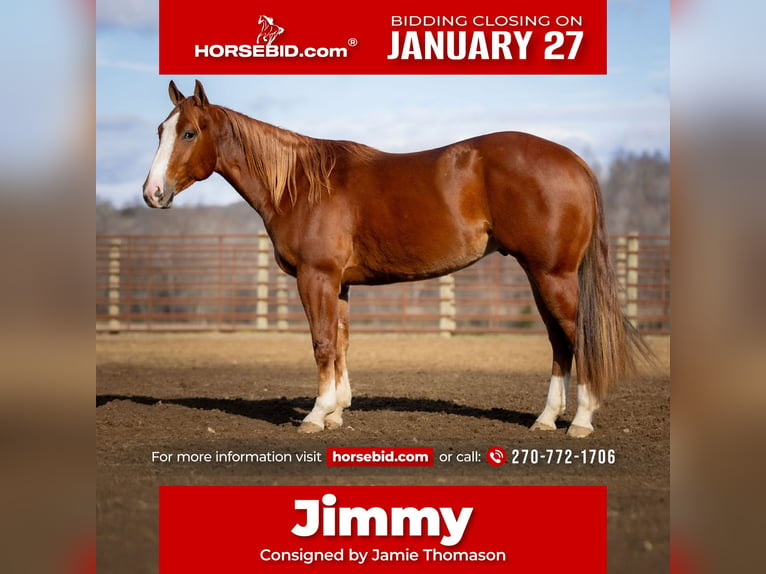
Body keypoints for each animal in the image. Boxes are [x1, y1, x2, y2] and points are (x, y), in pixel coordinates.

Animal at [142, 81, 648, 438]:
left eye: (189, 132)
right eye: (160, 131)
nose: (152, 193)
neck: (301, 185)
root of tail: (575, 161)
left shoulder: (315, 277)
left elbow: (322, 343)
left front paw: (316, 415)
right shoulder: (340, 284)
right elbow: (341, 343)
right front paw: (336, 412)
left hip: (552, 274)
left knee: (578, 336)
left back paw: (580, 421)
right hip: (540, 274)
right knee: (559, 341)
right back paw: (545, 419)